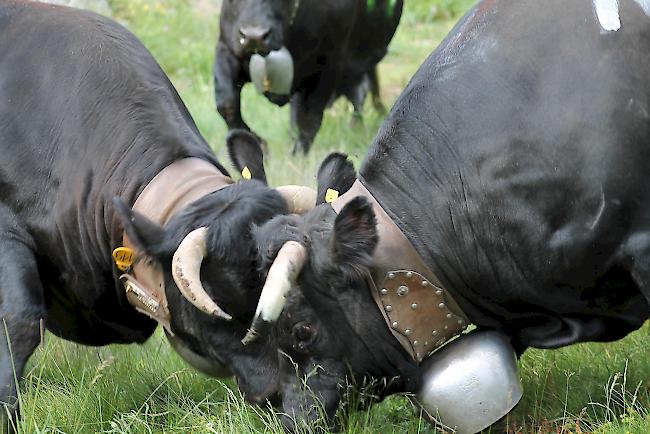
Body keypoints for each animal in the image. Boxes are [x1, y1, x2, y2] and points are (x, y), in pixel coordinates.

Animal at [215, 0, 402, 154]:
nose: (254, 36)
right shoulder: (226, 48)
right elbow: (227, 104)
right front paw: (259, 145)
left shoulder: (328, 66)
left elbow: (309, 118)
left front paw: (298, 156)